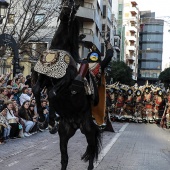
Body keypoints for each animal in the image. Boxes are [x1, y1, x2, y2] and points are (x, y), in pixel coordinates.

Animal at [31, 0, 101, 169]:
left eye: (75, 4)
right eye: (63, 1)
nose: (64, 12)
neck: (60, 48)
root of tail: (75, 124)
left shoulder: (66, 81)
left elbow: (51, 94)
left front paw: (49, 121)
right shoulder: (44, 77)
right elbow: (36, 90)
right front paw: (43, 120)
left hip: (88, 130)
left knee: (91, 149)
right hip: (64, 134)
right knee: (65, 158)